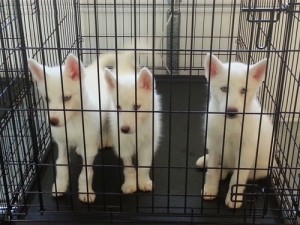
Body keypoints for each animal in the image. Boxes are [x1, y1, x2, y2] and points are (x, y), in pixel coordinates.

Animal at [27, 53, 110, 203]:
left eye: (66, 98)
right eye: (47, 99)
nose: (53, 121)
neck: (72, 121)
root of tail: (93, 69)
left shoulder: (89, 146)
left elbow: (86, 173)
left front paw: (85, 191)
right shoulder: (62, 143)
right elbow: (61, 164)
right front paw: (59, 185)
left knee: (105, 125)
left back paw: (104, 139)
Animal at [104, 58, 163, 193]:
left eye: (137, 107)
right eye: (118, 107)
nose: (124, 129)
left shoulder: (148, 143)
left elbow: (144, 165)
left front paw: (143, 181)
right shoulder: (123, 144)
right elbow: (129, 167)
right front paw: (130, 184)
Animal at [196, 53, 274, 208]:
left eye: (244, 90)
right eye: (224, 89)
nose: (231, 112)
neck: (230, 124)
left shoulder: (246, 150)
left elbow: (238, 176)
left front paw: (234, 198)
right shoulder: (215, 143)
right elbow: (211, 171)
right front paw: (210, 189)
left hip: (260, 167)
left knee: (240, 172)